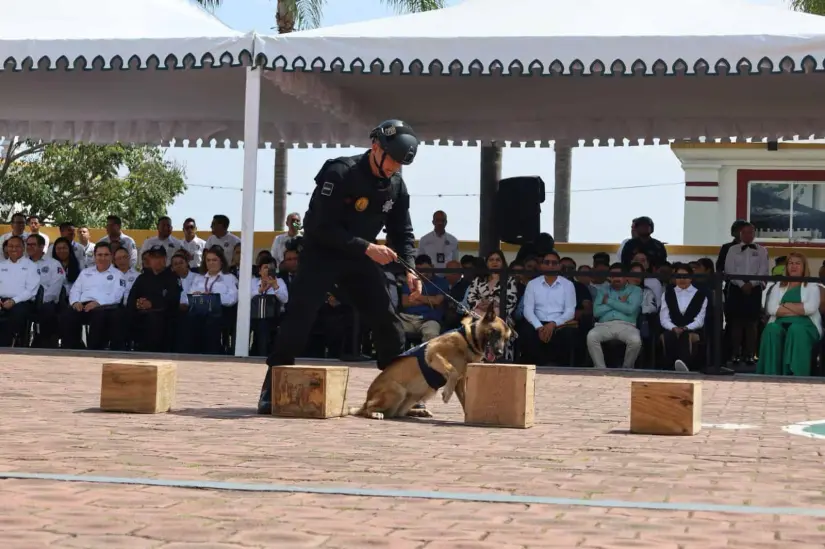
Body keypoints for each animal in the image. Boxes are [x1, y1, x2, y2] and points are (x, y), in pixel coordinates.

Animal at [346, 304, 508, 420]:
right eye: (495, 332)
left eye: (506, 339)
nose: (500, 353)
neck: (468, 340)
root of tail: (366, 400)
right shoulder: (433, 353)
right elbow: (452, 370)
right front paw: (447, 393)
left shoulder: (460, 382)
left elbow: (465, 397)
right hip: (397, 391)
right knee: (369, 410)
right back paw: (374, 413)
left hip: (415, 396)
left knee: (397, 413)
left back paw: (418, 412)